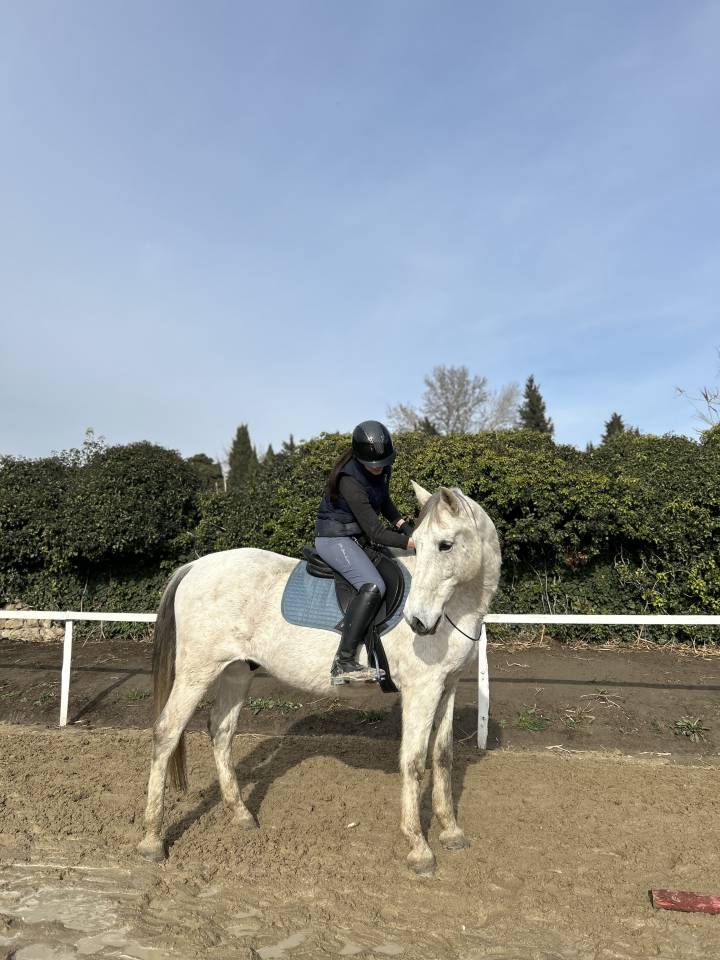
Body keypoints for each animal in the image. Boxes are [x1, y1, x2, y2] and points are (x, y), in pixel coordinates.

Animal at [137, 481, 501, 875]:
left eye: (445, 545)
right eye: (419, 544)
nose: (418, 621)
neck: (454, 610)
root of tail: (194, 566)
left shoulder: (446, 687)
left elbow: (443, 756)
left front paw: (451, 831)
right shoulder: (422, 690)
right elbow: (415, 761)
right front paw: (419, 848)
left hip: (236, 671)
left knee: (221, 730)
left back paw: (241, 814)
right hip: (196, 672)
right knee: (167, 732)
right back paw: (152, 840)